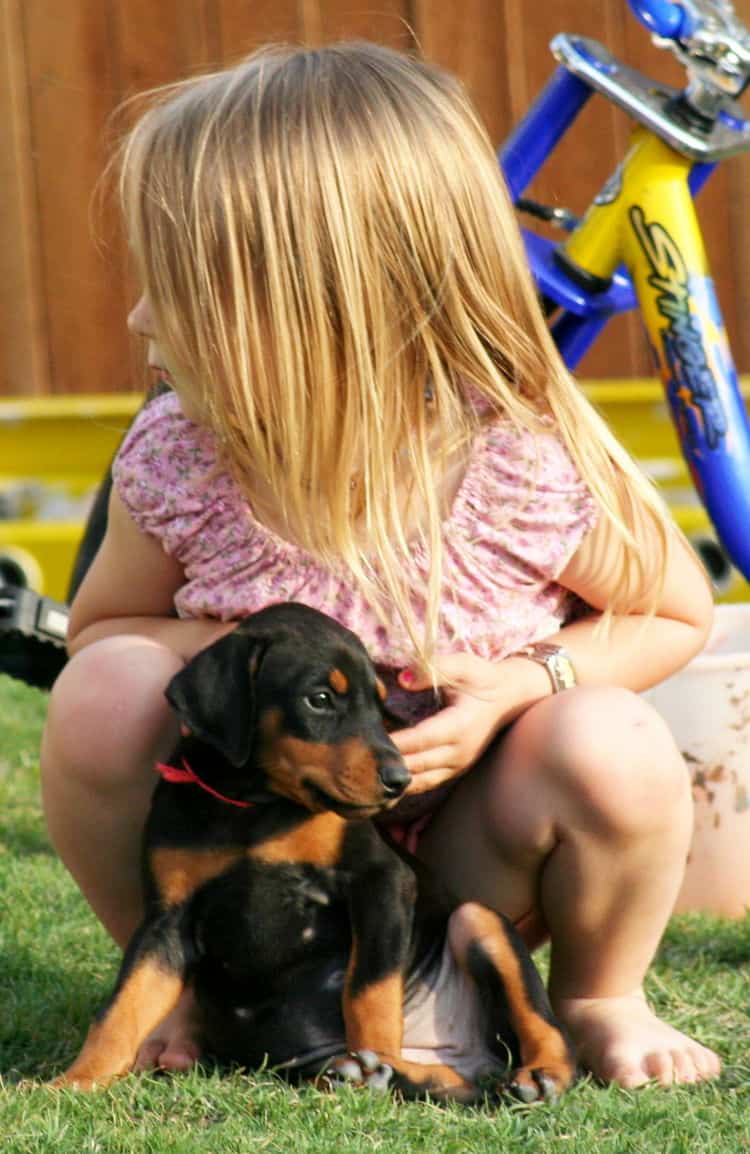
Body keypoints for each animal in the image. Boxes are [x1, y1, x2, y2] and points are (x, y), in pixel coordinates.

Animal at [53, 604, 572, 1098]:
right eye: (319, 699)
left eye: (380, 706)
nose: (399, 780)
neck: (253, 808)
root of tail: (468, 1054)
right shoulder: (167, 919)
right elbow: (123, 1007)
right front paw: (75, 1081)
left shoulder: (382, 881)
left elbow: (370, 990)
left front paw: (377, 1063)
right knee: (455, 1086)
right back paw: (383, 1075)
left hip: (479, 920)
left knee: (547, 1029)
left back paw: (529, 1076)